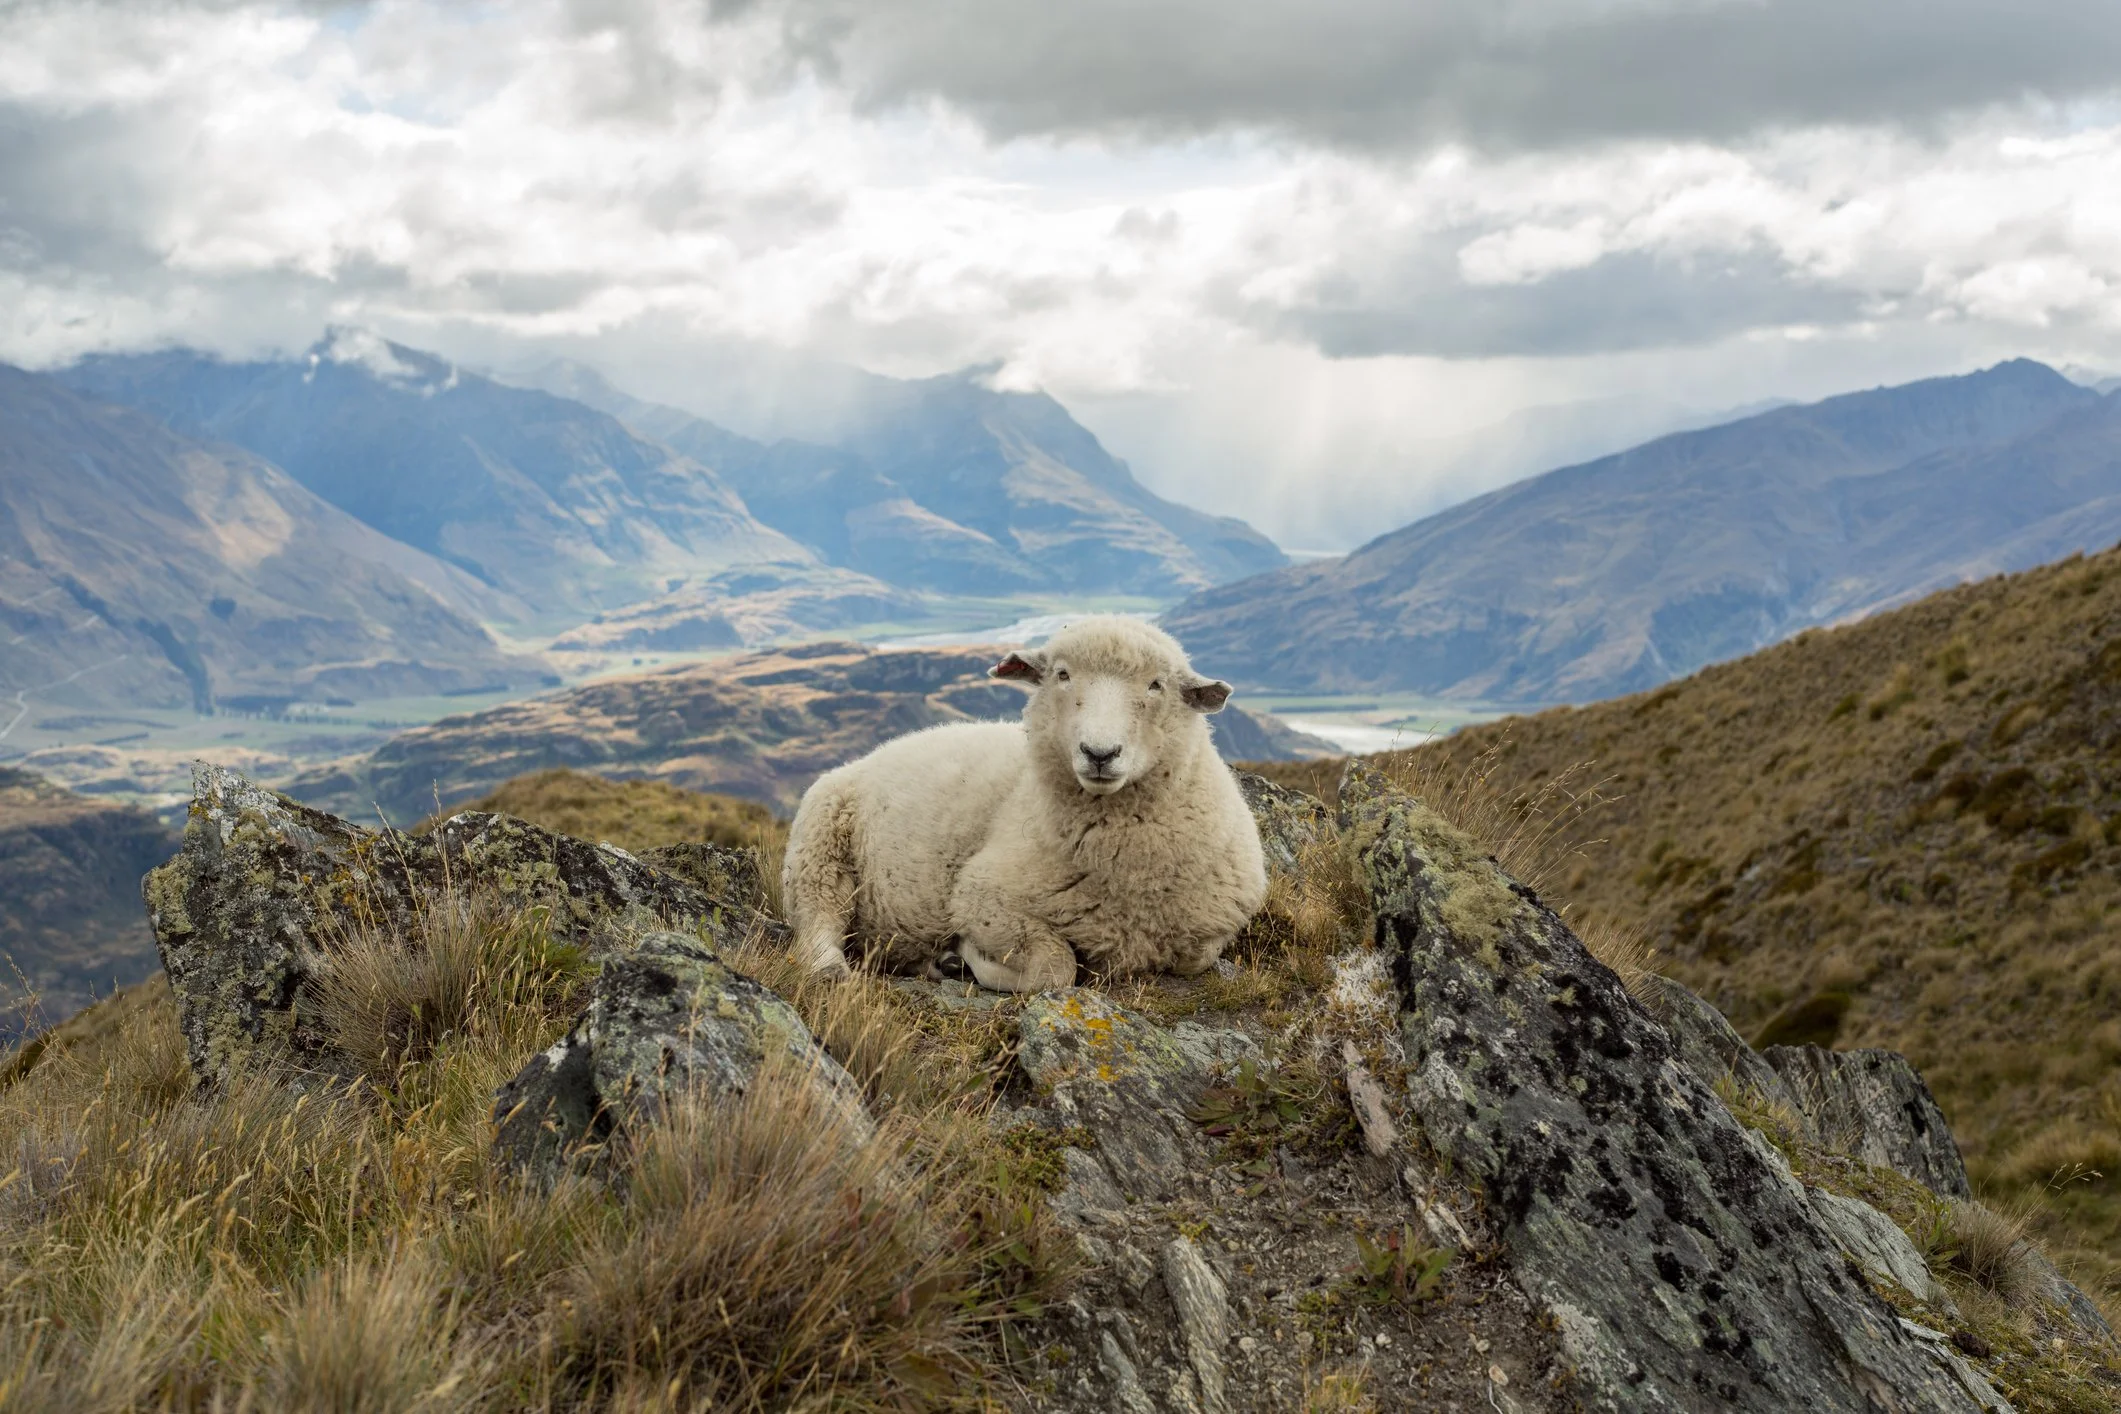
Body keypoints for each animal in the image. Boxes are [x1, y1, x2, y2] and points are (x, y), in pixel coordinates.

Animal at [780, 616, 1269, 991]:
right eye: (1062, 675)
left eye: (1156, 685)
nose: (1100, 753)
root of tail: (873, 754)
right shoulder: (983, 897)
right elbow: (1055, 970)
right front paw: (971, 959)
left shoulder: (1212, 929)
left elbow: (1196, 958)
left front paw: (955, 960)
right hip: (819, 848)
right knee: (818, 921)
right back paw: (835, 968)